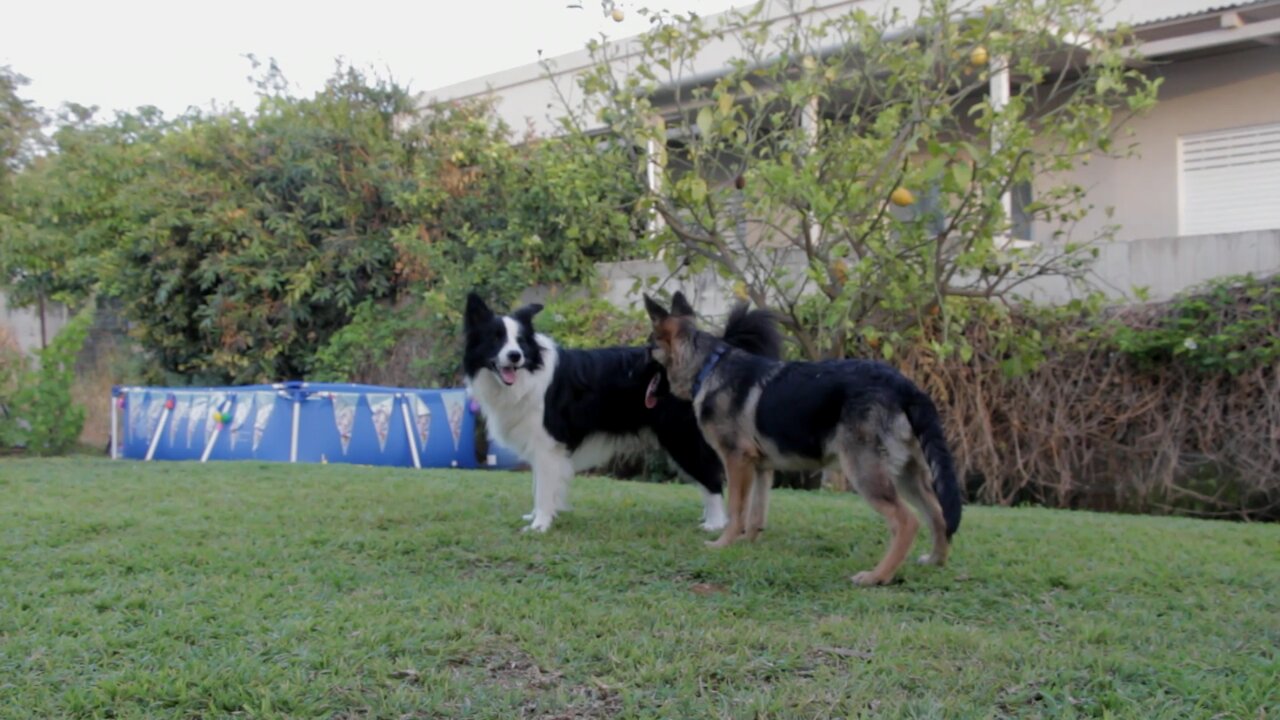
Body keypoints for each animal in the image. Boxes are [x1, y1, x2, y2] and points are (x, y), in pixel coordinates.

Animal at [645, 289, 962, 584]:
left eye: (647, 348)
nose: (633, 361)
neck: (708, 366)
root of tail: (905, 387)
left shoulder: (736, 462)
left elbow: (736, 508)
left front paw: (723, 543)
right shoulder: (760, 467)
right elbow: (756, 512)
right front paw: (746, 543)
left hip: (865, 472)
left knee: (907, 521)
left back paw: (877, 576)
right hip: (907, 475)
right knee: (938, 514)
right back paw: (936, 560)